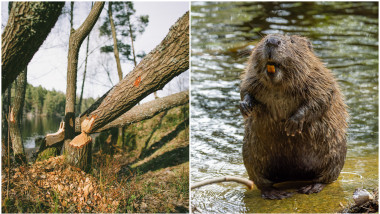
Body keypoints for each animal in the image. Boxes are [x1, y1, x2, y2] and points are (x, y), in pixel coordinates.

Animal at [240, 34, 348, 200]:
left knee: (328, 176)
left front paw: (292, 125)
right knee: (261, 181)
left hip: (336, 151)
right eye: (265, 38)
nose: (272, 41)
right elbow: (245, 89)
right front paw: (245, 106)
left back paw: (311, 187)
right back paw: (276, 193)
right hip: (250, 153)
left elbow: (322, 97)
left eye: (292, 41)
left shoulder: (318, 77)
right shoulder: (251, 78)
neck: (278, 85)